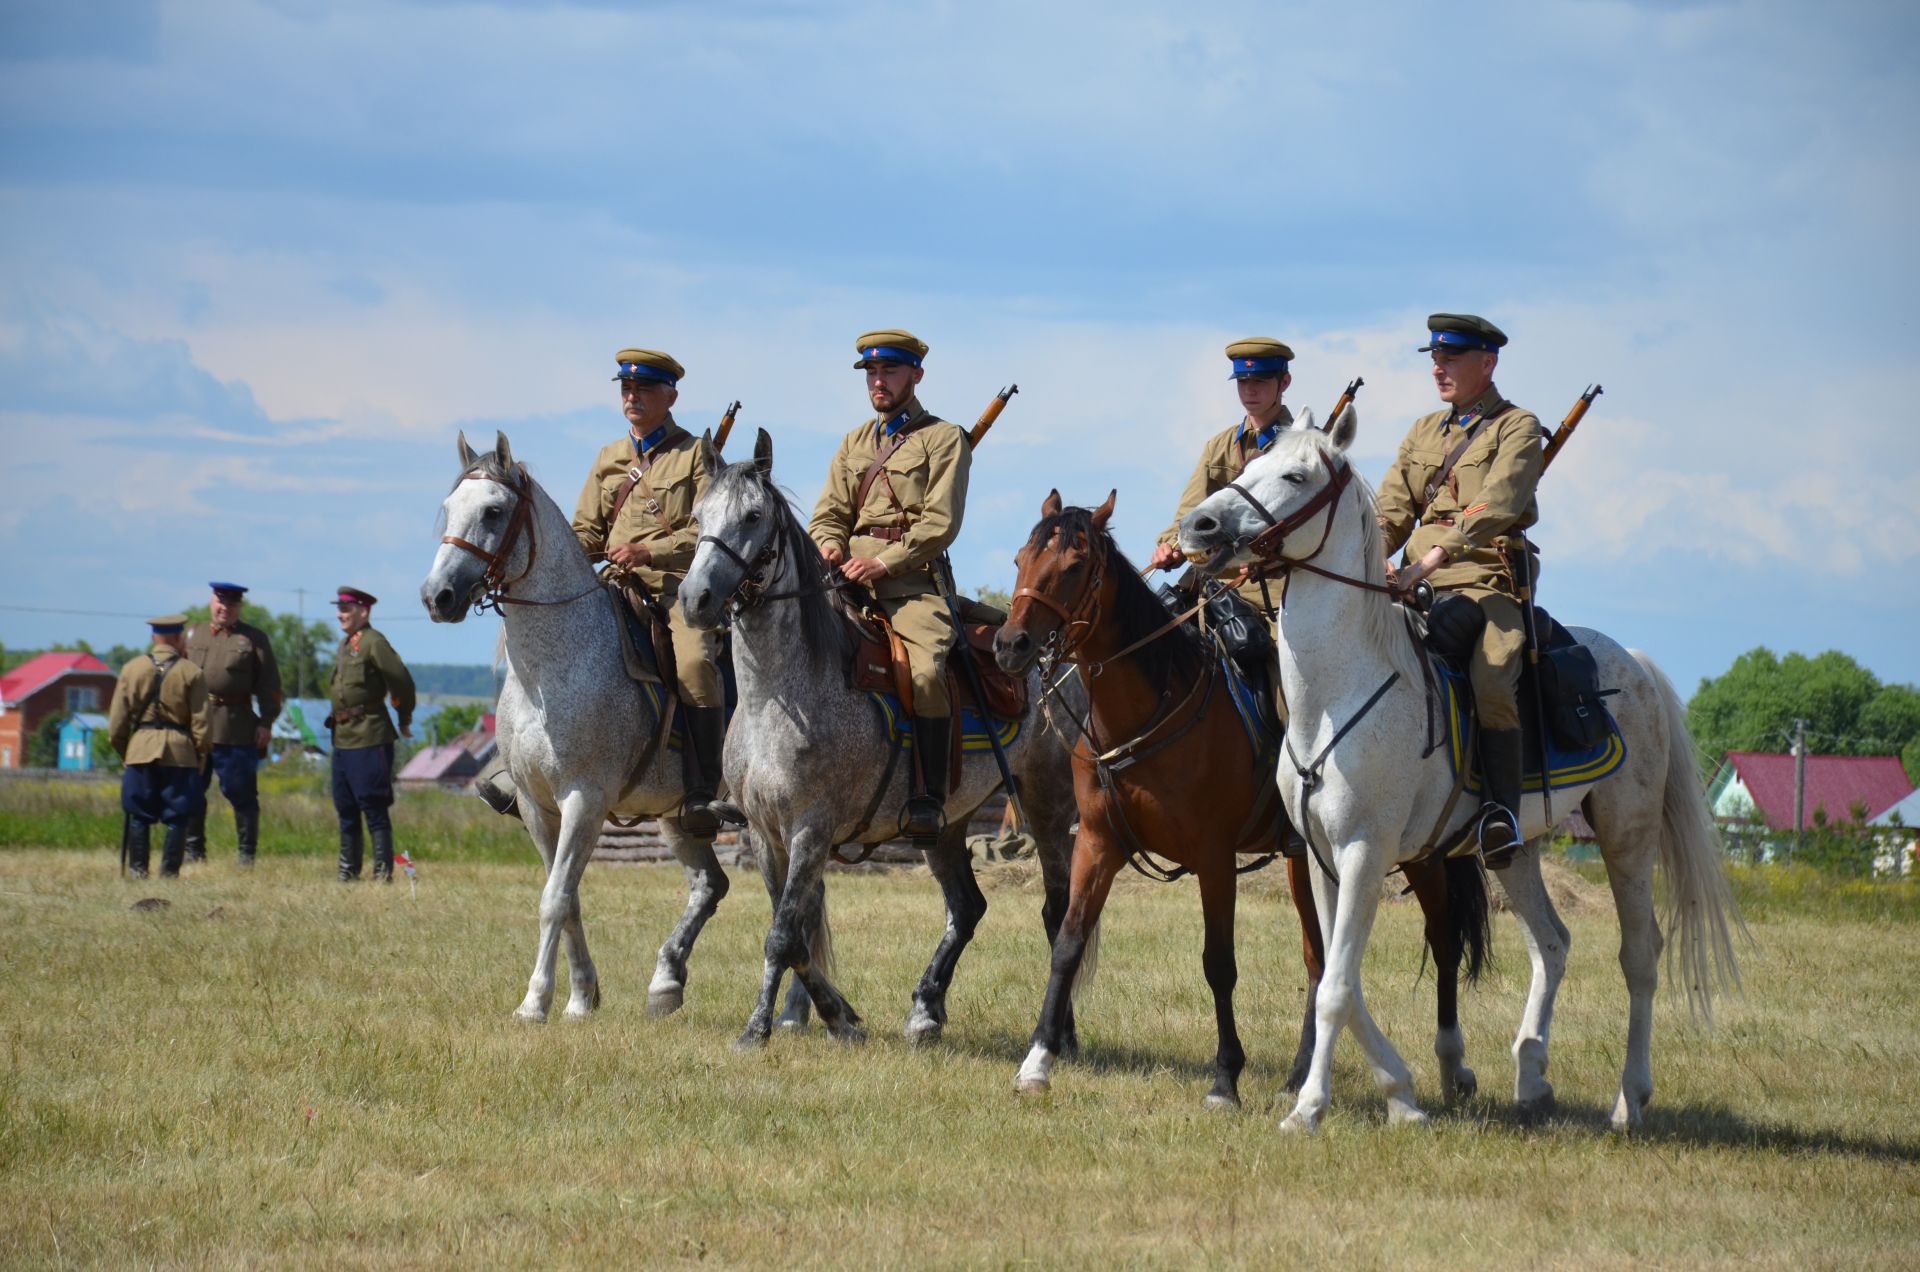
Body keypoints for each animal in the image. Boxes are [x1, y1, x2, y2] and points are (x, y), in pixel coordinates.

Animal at [420, 434, 741, 1029]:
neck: (550, 670)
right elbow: (565, 896)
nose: (438, 597)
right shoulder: (535, 806)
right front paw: (579, 996)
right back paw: (665, 983)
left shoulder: (584, 801)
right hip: (678, 819)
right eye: (449, 509)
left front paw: (533, 1002)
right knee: (711, 884)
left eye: (493, 512)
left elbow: (553, 898)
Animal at [679, 434, 1082, 1052]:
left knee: (1058, 911)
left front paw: (757, 1029)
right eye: (698, 515)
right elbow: (794, 934)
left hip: (1048, 806)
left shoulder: (811, 830)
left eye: (752, 516)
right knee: (966, 908)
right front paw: (837, 1016)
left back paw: (1061, 1034)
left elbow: (782, 936)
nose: (695, 598)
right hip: (945, 825)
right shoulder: (765, 834)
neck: (780, 695)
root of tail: (1052, 661)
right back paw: (925, 1010)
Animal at [990, 491, 1482, 1114]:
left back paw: (1453, 1068)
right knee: (1321, 960)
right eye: (1020, 559)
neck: (1151, 707)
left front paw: (1225, 1079)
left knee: (1443, 942)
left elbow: (1218, 964)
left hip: (1419, 855)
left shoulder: (1214, 857)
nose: (1010, 645)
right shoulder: (1097, 844)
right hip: (1305, 863)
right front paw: (1037, 1061)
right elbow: (1068, 942)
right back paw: (1299, 1077)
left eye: (1075, 566)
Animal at [1167, 411, 1743, 1137]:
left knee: (1640, 955)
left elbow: (1334, 988)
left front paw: (1310, 1107)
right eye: (1245, 468)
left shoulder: (1365, 852)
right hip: (1513, 850)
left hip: (1627, 835)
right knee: (1552, 943)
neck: (1336, 693)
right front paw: (1402, 1093)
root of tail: (1632, 660)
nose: (1199, 526)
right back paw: (1531, 1075)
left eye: (1295, 475)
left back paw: (1627, 1100)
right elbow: (1339, 978)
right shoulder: (1323, 859)